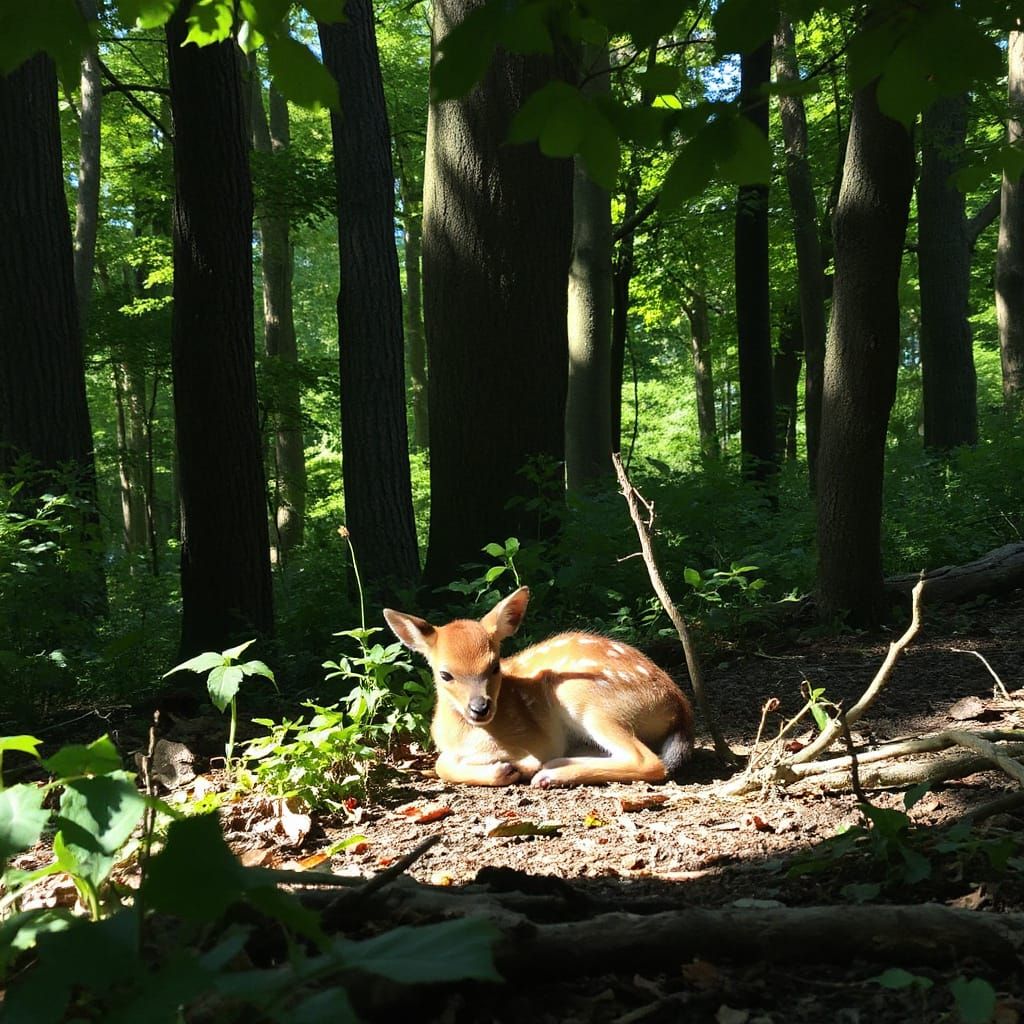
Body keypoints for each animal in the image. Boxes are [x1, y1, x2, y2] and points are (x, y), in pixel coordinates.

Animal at [383, 586, 694, 788]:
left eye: (494, 666)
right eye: (445, 674)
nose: (480, 708)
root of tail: (681, 707)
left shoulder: (537, 738)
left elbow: (444, 764)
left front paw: (513, 767)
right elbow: (442, 764)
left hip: (586, 699)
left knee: (648, 761)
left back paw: (549, 775)